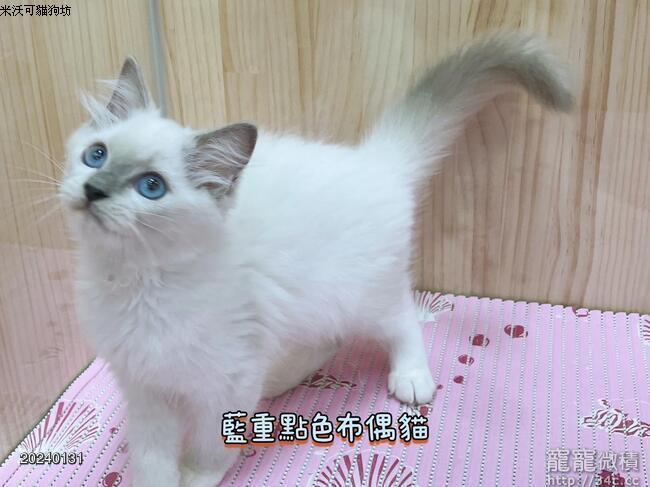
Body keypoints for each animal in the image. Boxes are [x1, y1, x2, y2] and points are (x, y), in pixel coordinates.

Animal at [59, 32, 573, 487]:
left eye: (151, 186)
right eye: (96, 156)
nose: (94, 189)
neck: (136, 282)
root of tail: (376, 163)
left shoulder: (229, 381)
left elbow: (209, 447)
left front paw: (196, 476)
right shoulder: (146, 389)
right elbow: (151, 460)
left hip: (363, 295)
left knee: (403, 320)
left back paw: (410, 377)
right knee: (329, 339)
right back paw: (281, 381)